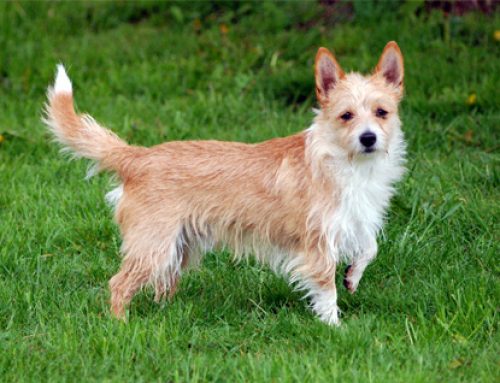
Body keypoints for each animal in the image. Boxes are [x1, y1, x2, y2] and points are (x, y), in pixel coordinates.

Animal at [45, 42, 406, 326]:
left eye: (382, 112)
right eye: (346, 116)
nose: (369, 138)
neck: (346, 162)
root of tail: (137, 157)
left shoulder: (355, 220)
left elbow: (370, 247)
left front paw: (352, 276)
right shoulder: (317, 242)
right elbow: (326, 287)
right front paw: (333, 327)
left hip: (177, 247)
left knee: (162, 284)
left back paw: (166, 314)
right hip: (153, 246)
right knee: (119, 284)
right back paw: (121, 325)